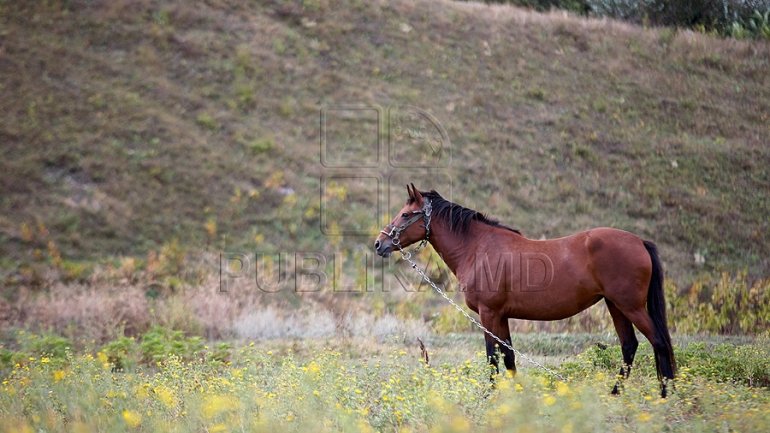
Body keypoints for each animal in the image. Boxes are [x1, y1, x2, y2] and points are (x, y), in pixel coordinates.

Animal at [376, 184, 676, 396]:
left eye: (405, 214)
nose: (380, 244)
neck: (478, 247)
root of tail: (639, 241)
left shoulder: (488, 314)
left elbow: (492, 358)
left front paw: (489, 397)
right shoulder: (502, 316)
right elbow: (509, 357)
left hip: (630, 306)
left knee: (658, 342)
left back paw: (665, 395)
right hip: (616, 306)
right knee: (629, 346)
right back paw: (615, 394)